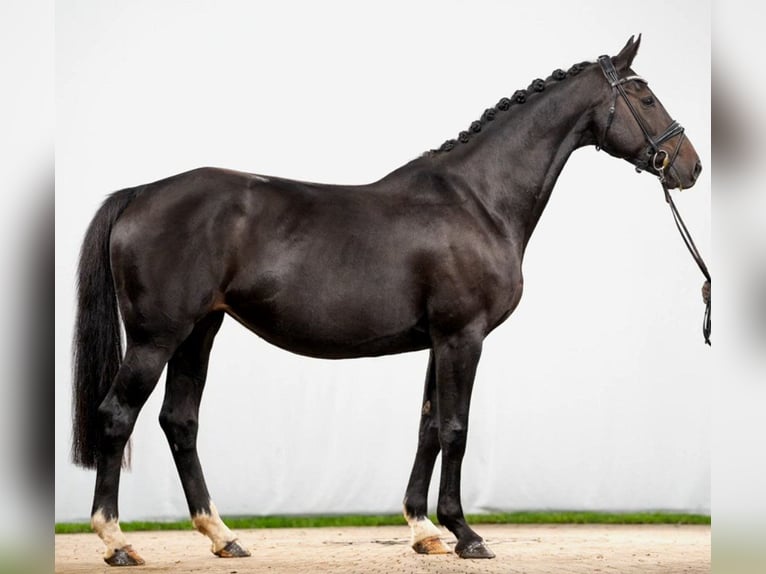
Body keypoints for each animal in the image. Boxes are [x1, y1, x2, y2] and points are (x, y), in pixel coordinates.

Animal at [70, 37, 704, 568]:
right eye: (646, 96)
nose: (691, 166)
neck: (478, 200)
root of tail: (140, 194)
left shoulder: (437, 342)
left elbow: (428, 426)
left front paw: (424, 531)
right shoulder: (462, 337)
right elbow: (456, 428)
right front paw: (465, 534)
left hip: (199, 331)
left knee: (180, 421)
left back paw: (223, 536)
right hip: (156, 337)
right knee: (117, 415)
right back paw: (116, 541)